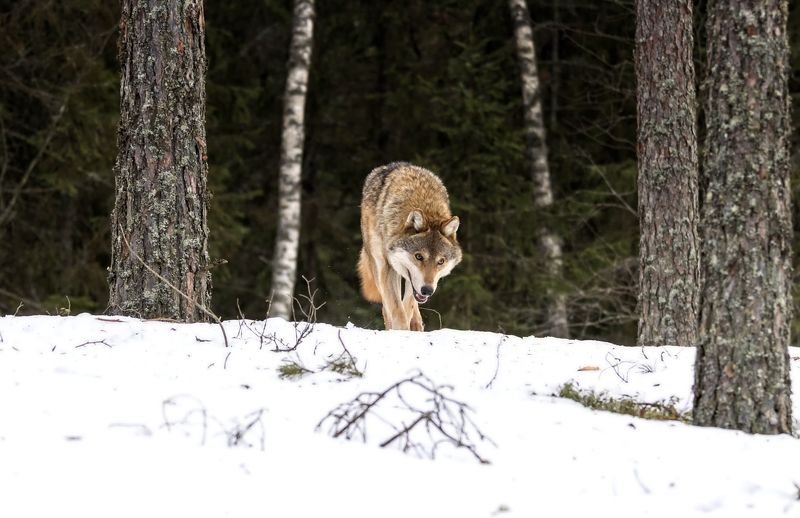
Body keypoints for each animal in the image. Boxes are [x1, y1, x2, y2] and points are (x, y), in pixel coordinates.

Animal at [358, 162, 462, 331]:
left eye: (441, 261)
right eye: (418, 256)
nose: (427, 291)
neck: (426, 206)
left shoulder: (417, 284)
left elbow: (408, 306)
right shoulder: (388, 267)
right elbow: (396, 309)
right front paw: (401, 332)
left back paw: (417, 323)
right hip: (377, 264)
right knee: (386, 306)